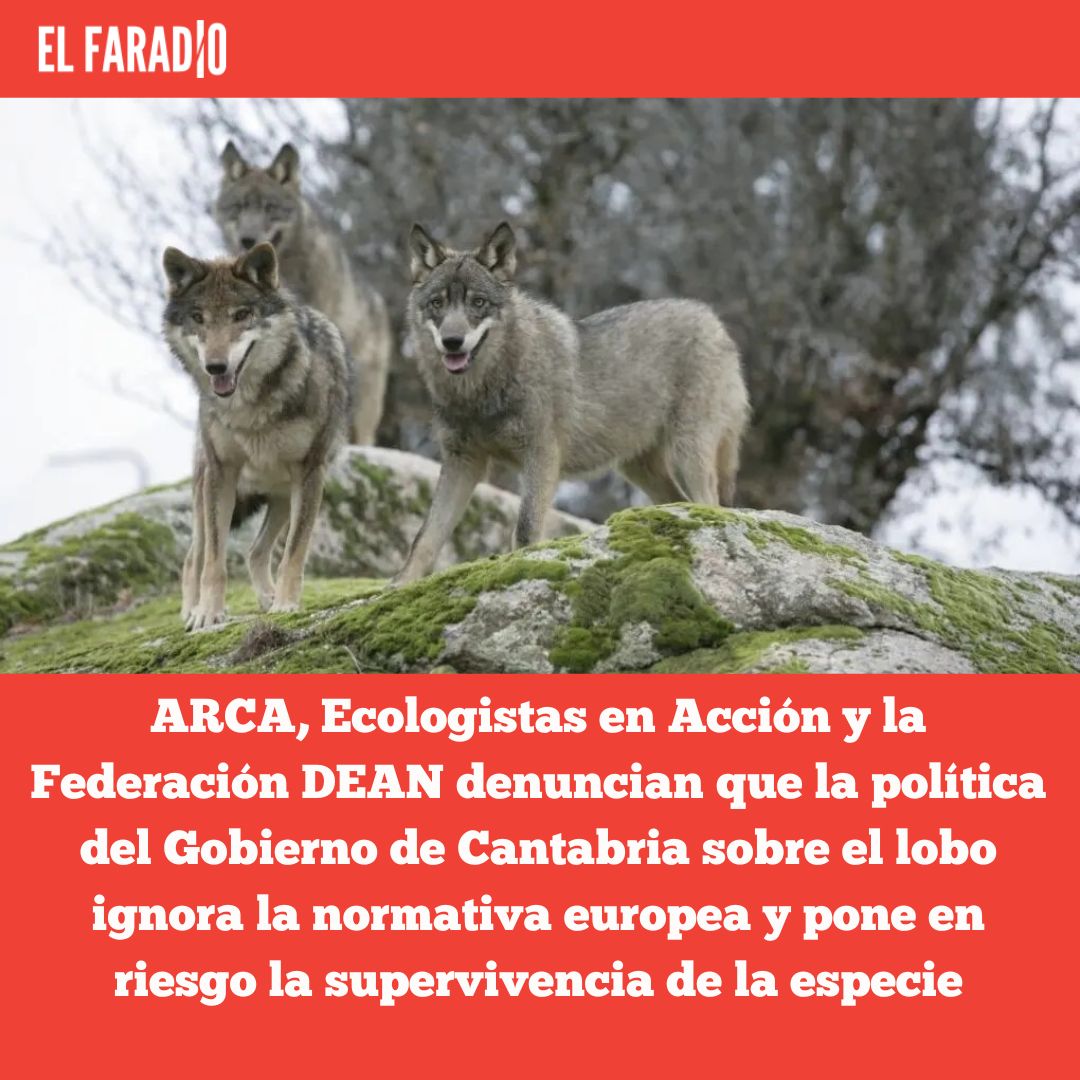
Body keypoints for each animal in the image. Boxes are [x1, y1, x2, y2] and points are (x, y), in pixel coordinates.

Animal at [162, 242, 352, 630]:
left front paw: (285, 605)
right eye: (198, 317)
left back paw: (268, 598)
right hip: (206, 491)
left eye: (241, 315)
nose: (215, 367)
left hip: (282, 496)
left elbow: (294, 552)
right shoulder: (222, 473)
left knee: (255, 551)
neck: (249, 407)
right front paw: (208, 613)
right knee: (193, 558)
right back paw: (191, 610)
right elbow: (214, 561)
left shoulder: (310, 473)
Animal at [396, 221, 751, 584]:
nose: (452, 342)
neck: (480, 391)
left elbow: (525, 530)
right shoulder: (462, 462)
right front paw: (399, 586)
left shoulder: (541, 455)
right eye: (437, 303)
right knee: (682, 503)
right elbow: (425, 538)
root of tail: (713, 320)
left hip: (688, 453)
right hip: (640, 468)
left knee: (712, 505)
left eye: (478, 302)